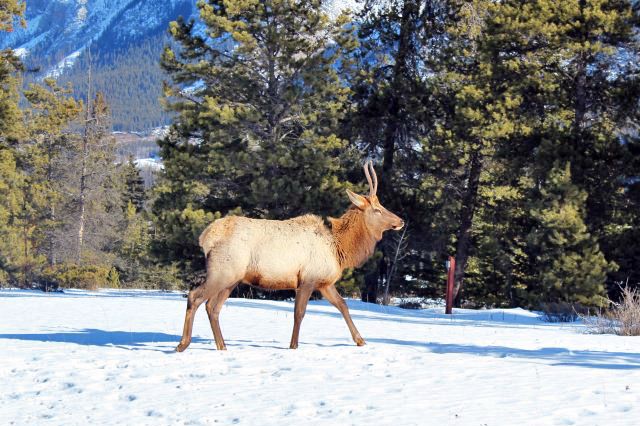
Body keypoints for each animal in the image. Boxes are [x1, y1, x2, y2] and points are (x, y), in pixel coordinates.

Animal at [178, 161, 402, 352]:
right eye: (377, 209)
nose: (401, 221)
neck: (339, 249)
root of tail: (206, 237)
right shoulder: (307, 279)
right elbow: (299, 313)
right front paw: (293, 346)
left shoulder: (325, 283)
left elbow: (343, 306)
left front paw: (360, 340)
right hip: (223, 271)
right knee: (195, 297)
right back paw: (183, 344)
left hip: (232, 279)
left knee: (212, 307)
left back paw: (222, 346)